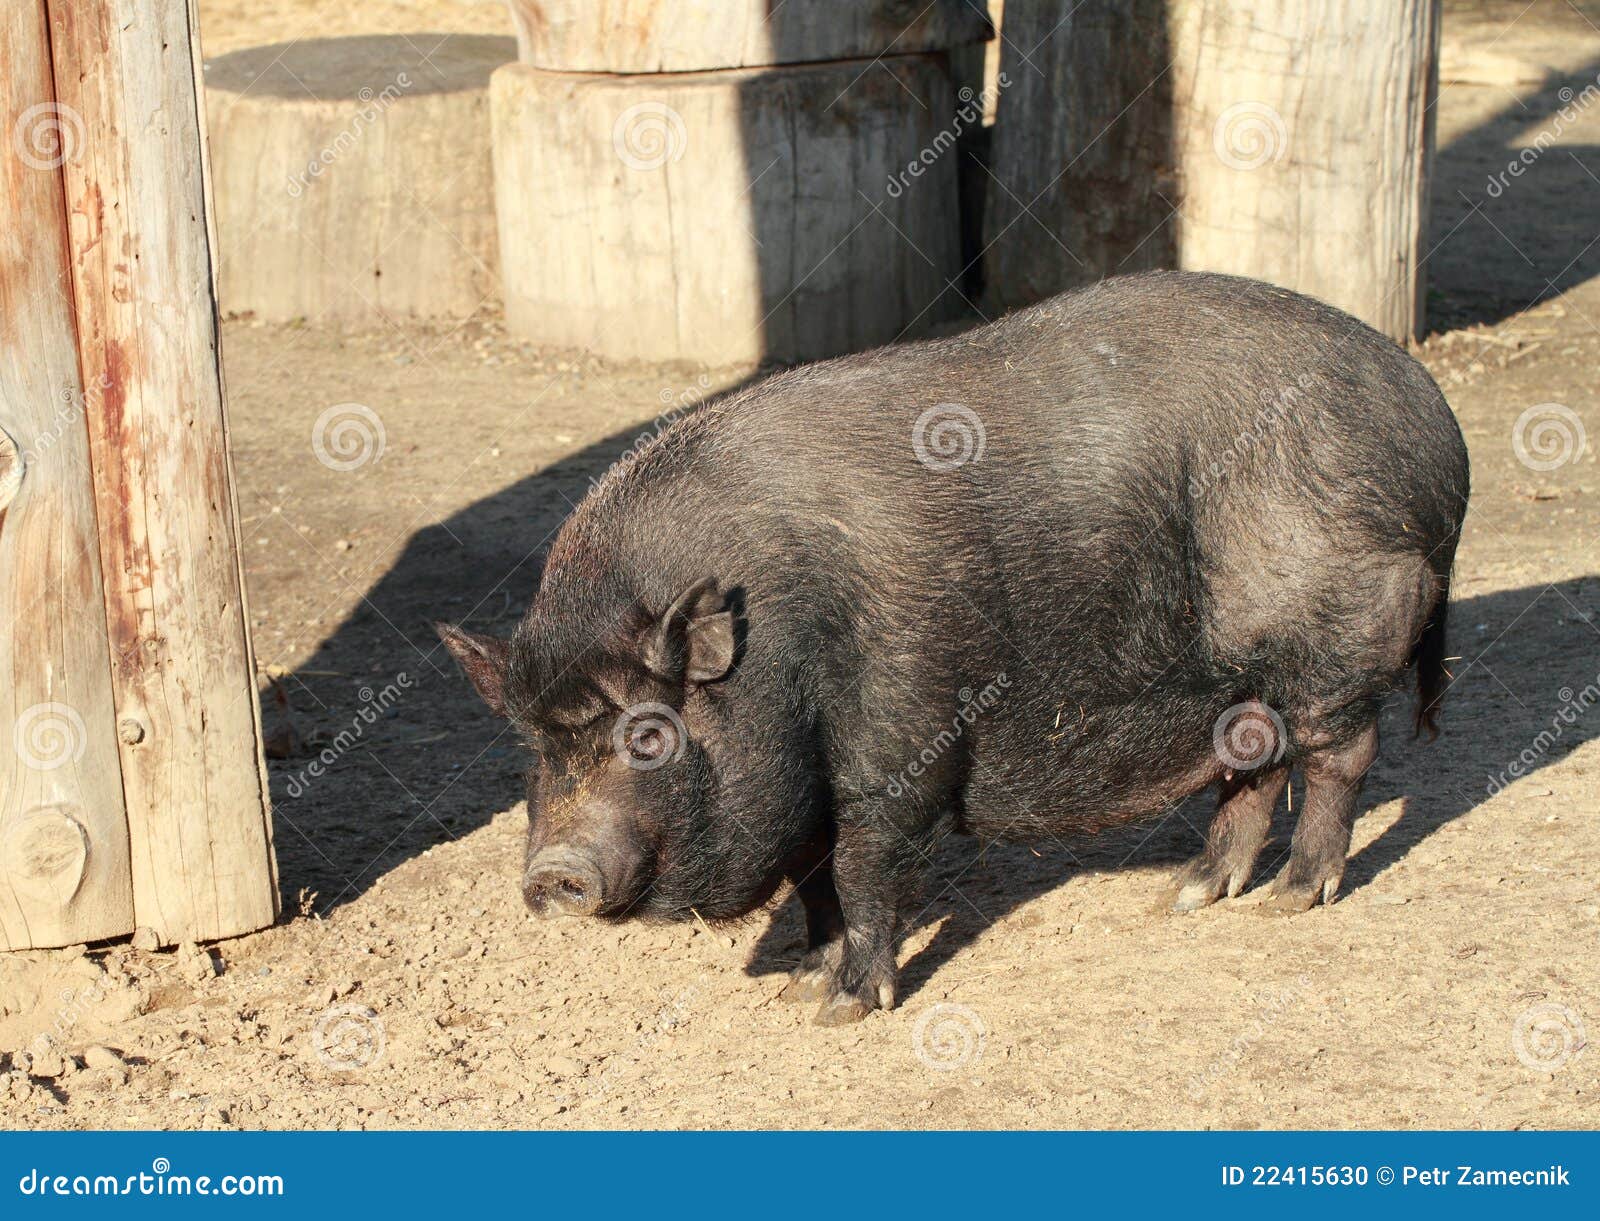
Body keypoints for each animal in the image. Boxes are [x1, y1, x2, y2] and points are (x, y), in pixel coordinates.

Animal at [437, 271, 1469, 1025]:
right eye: (536, 744)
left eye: (649, 734)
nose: (551, 871)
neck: (779, 646)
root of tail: (1437, 429)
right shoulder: (807, 784)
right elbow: (813, 876)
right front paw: (806, 978)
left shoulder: (897, 744)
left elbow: (862, 867)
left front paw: (843, 1009)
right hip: (1245, 674)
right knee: (1252, 760)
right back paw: (1189, 895)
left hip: (1336, 633)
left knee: (1339, 754)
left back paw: (1295, 896)